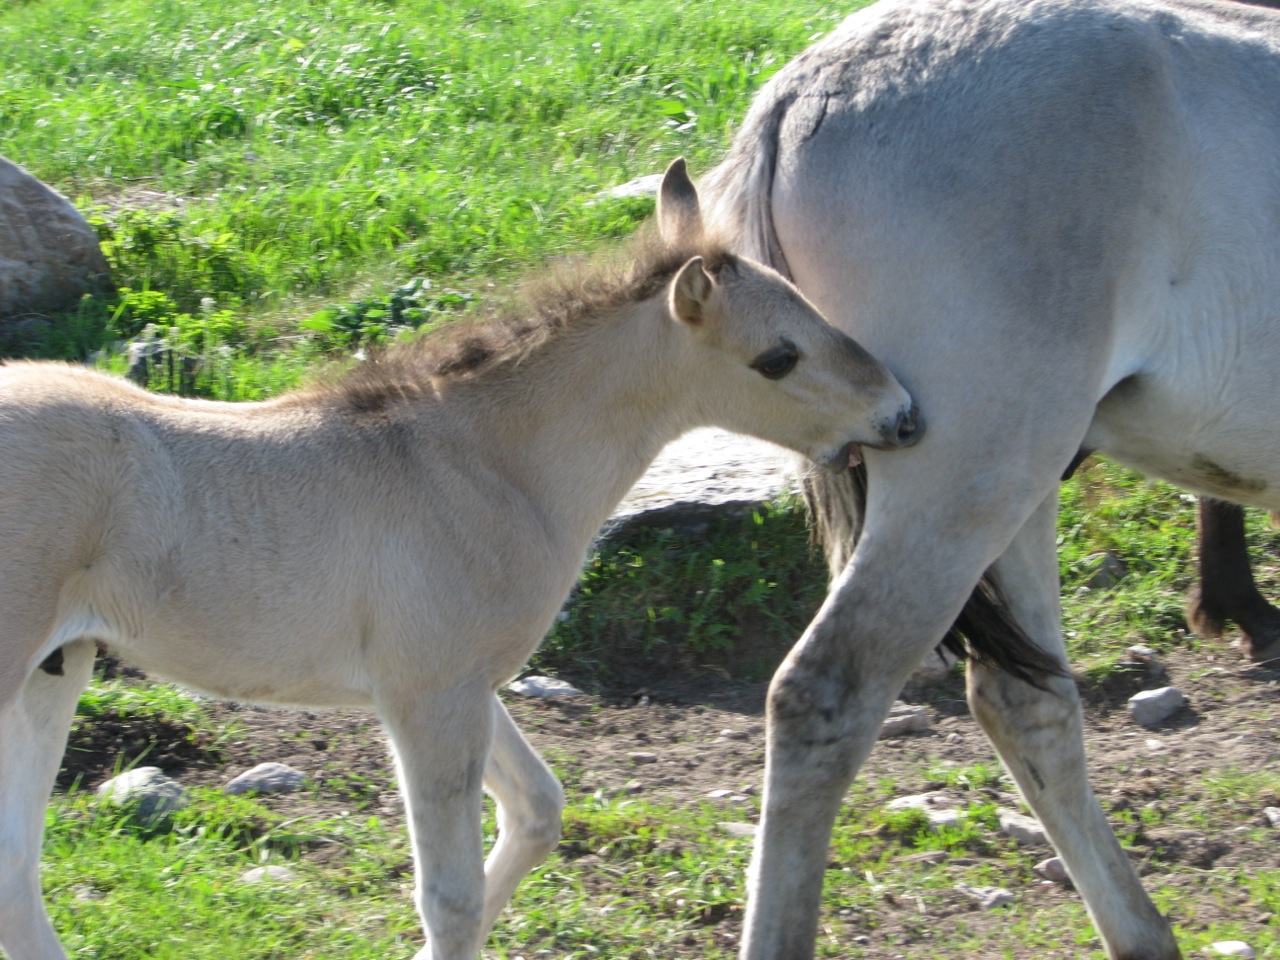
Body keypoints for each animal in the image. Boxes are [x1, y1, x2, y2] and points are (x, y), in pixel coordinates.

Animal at [0, 161, 926, 960]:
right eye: (778, 357)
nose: (904, 416)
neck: (483, 463)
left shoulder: (468, 686)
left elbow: (537, 811)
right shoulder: (429, 695)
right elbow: (449, 895)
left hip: (57, 671)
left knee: (16, 871)